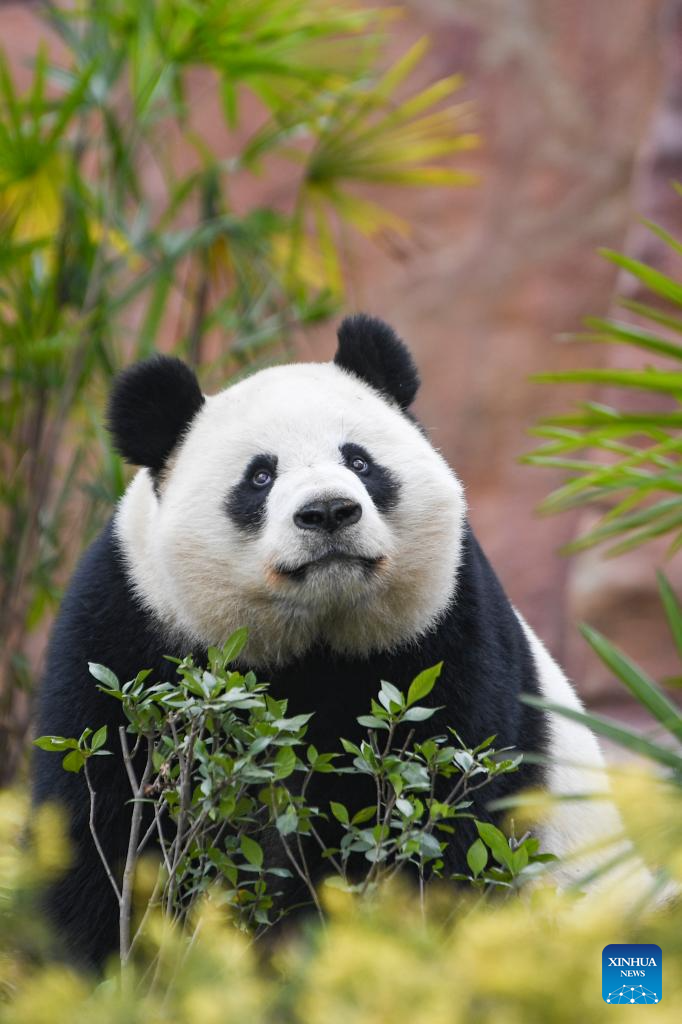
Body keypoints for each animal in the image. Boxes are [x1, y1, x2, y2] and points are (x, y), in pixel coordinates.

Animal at [31, 313, 626, 966]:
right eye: (260, 475)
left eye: (360, 461)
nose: (329, 512)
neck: (312, 638)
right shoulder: (130, 628)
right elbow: (102, 823)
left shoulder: (446, 632)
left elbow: (447, 814)